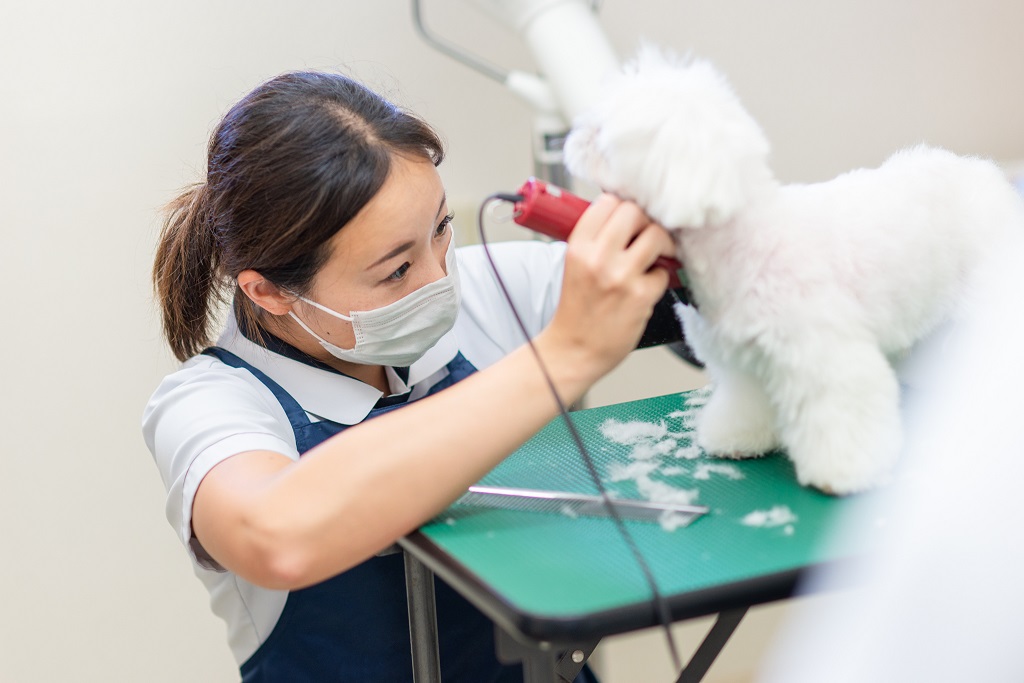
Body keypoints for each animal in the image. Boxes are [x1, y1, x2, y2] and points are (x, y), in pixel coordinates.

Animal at [565, 49, 1024, 497]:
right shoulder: (744, 363)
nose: (573, 139)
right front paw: (739, 438)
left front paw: (845, 471)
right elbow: (746, 403)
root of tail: (985, 174)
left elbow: (841, 414)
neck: (738, 241)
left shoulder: (827, 356)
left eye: (604, 134)